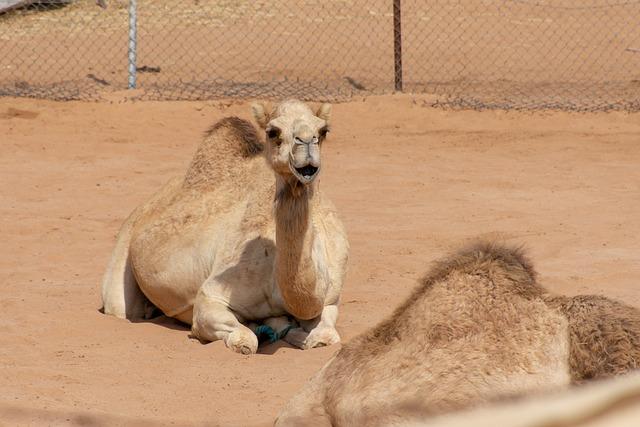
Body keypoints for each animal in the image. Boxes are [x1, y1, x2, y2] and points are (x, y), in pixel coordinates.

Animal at [100, 99, 350, 354]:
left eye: (323, 131)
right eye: (273, 132)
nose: (307, 144)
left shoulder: (330, 297)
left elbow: (325, 335)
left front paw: (293, 331)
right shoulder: (211, 297)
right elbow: (244, 340)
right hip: (123, 251)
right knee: (120, 307)